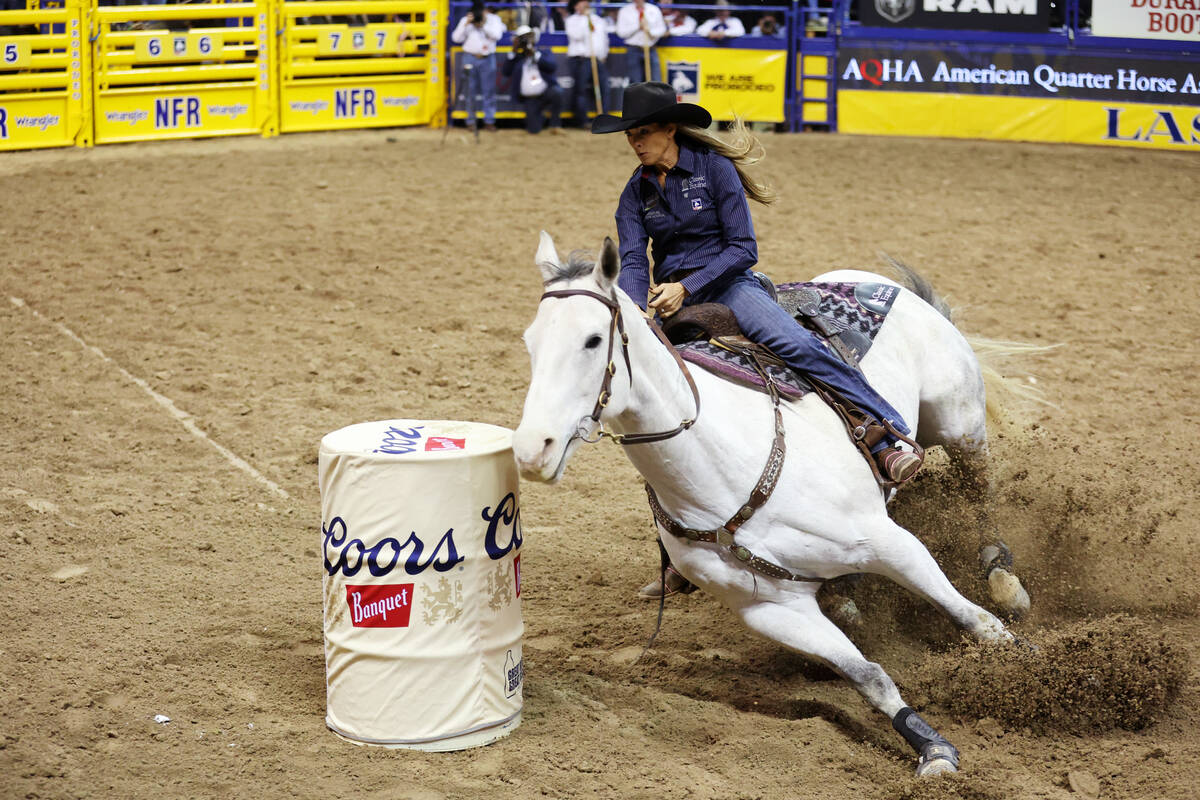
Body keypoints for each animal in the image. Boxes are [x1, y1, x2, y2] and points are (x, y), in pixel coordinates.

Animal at [511, 235, 1027, 777]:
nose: (532, 449)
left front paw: (1027, 662)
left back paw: (1003, 577)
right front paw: (932, 747)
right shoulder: (771, 608)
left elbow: (973, 620)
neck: (723, 465)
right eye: (531, 341)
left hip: (960, 424)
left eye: (593, 340)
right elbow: (868, 676)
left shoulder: (892, 544)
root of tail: (881, 283)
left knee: (979, 493)